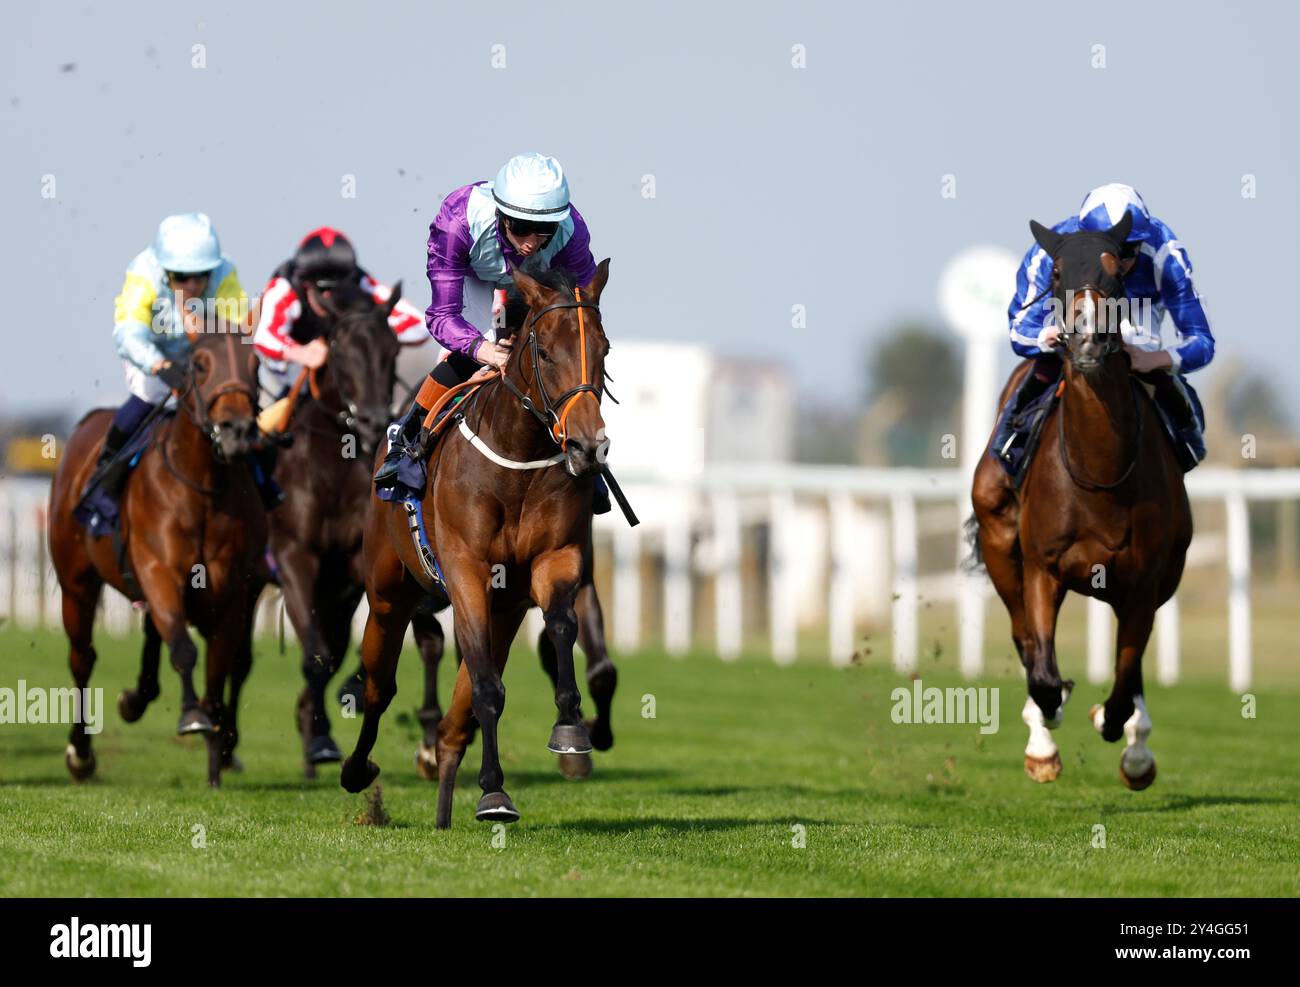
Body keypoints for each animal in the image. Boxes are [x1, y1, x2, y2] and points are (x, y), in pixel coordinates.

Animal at [48, 322, 266, 785]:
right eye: (199, 365)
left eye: (255, 364)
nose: (237, 430)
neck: (202, 489)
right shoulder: (158, 569)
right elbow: (183, 648)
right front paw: (193, 717)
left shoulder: (232, 589)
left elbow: (217, 666)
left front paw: (215, 758)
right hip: (76, 585)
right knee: (82, 658)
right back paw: (81, 752)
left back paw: (136, 700)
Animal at [340, 256, 613, 827]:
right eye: (545, 352)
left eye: (603, 350)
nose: (586, 445)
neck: (519, 458)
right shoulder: (466, 570)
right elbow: (487, 688)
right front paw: (493, 793)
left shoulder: (556, 560)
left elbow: (559, 627)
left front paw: (571, 729)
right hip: (387, 593)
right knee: (378, 686)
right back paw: (356, 770)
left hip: (503, 610)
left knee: (454, 721)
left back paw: (443, 803)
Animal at [977, 211, 1190, 790]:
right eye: (1053, 275)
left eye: (1117, 275)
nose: (1089, 340)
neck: (1100, 475)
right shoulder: (1042, 570)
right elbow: (1044, 676)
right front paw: (1045, 736)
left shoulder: (1143, 584)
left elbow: (1120, 691)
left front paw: (1125, 739)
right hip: (1000, 545)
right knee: (1024, 641)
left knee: (1129, 674)